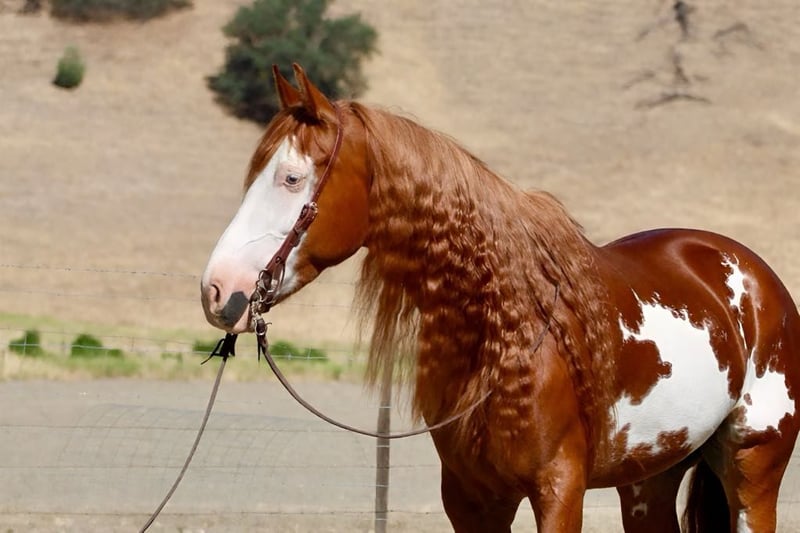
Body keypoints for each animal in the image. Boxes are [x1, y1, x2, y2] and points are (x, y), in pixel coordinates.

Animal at [200, 64, 800, 532]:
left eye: (291, 178)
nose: (217, 290)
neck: (505, 331)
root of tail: (752, 275)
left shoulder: (559, 489)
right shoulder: (471, 500)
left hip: (753, 467)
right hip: (649, 480)